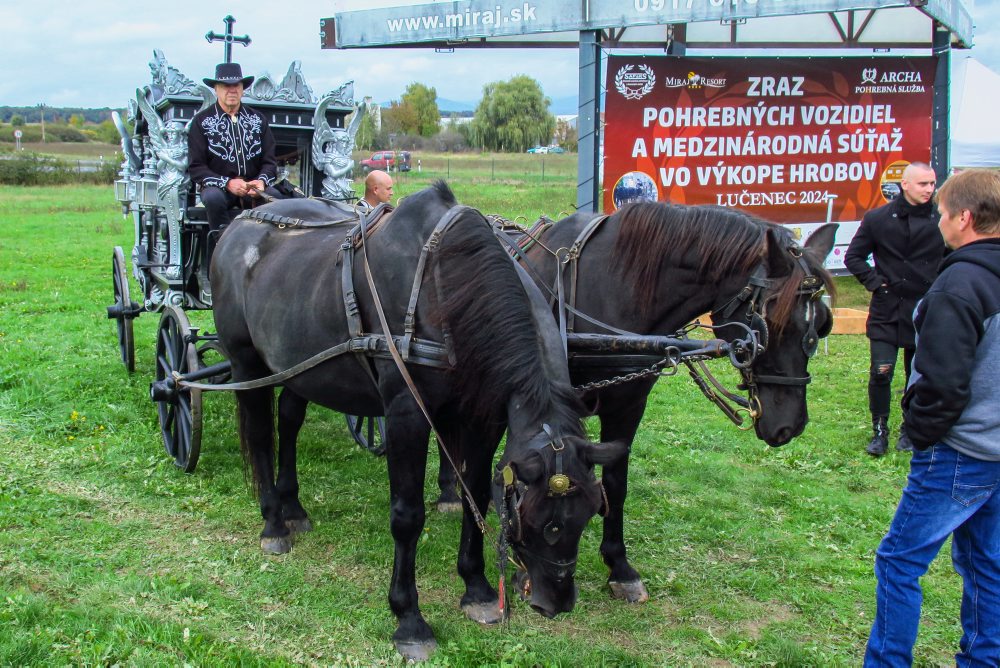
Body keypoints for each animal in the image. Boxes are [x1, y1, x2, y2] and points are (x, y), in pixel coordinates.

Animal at [211, 184, 624, 664]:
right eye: (544, 521)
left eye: (592, 512)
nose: (556, 602)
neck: (446, 291)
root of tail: (241, 224)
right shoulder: (406, 414)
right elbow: (407, 516)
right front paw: (408, 618)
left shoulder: (482, 419)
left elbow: (474, 493)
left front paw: (478, 590)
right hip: (247, 363)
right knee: (261, 436)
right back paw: (274, 523)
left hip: (301, 367)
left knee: (289, 422)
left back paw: (293, 508)